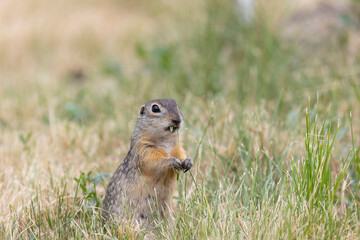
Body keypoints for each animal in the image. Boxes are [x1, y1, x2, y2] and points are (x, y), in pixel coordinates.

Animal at [102, 98, 193, 226]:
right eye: (155, 108)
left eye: (177, 105)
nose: (177, 120)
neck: (166, 141)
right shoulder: (144, 150)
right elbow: (153, 163)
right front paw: (171, 161)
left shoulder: (178, 148)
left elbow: (182, 155)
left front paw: (188, 162)